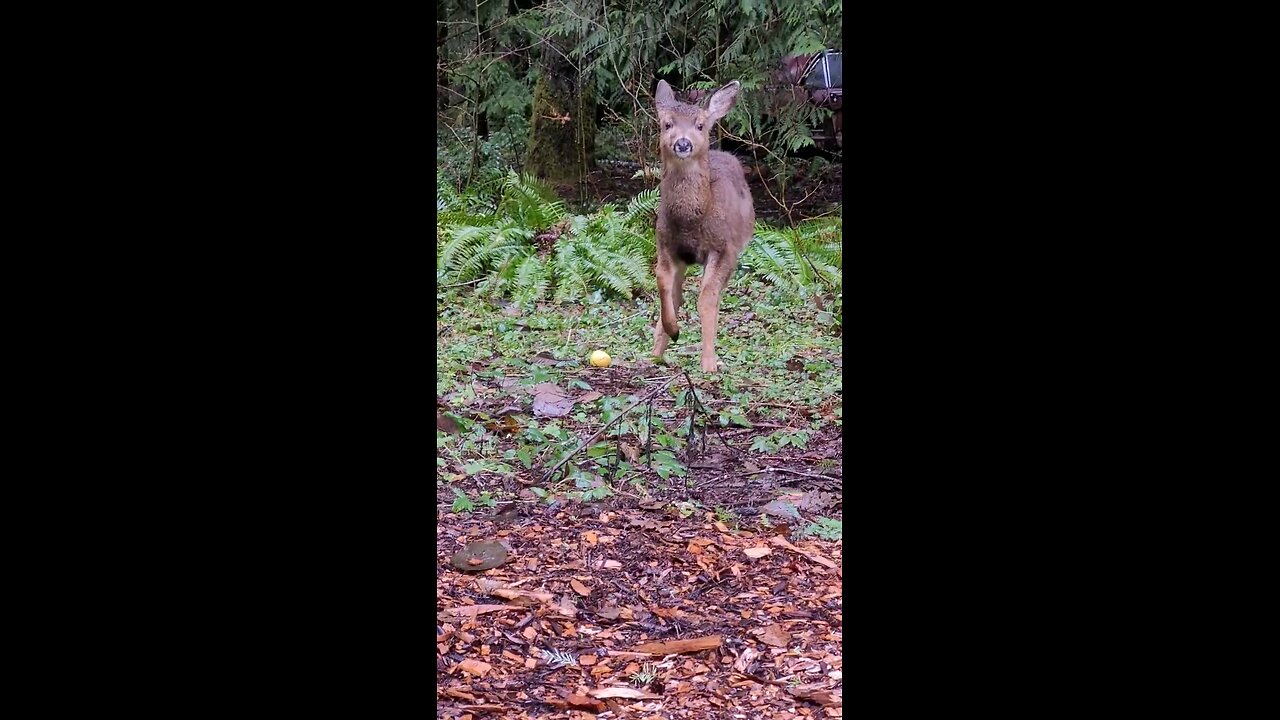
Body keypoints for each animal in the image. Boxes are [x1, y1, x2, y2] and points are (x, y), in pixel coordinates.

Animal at [650, 79, 747, 371]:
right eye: (667, 124)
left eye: (700, 125)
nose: (683, 144)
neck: (691, 221)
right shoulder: (665, 244)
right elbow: (663, 283)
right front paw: (673, 331)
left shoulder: (724, 248)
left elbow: (707, 299)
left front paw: (709, 363)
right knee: (678, 294)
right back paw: (656, 352)